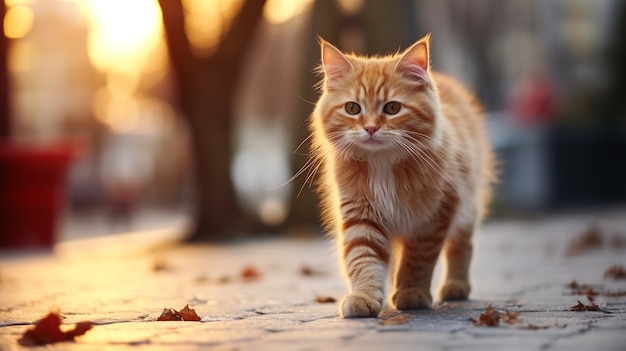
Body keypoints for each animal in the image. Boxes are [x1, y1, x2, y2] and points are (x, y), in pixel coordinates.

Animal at [310, 33, 494, 320]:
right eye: (352, 108)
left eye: (392, 108)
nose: (371, 128)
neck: (382, 163)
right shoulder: (361, 214)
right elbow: (364, 260)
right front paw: (365, 297)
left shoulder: (433, 217)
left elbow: (416, 261)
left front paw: (411, 293)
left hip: (466, 207)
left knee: (461, 246)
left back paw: (456, 285)